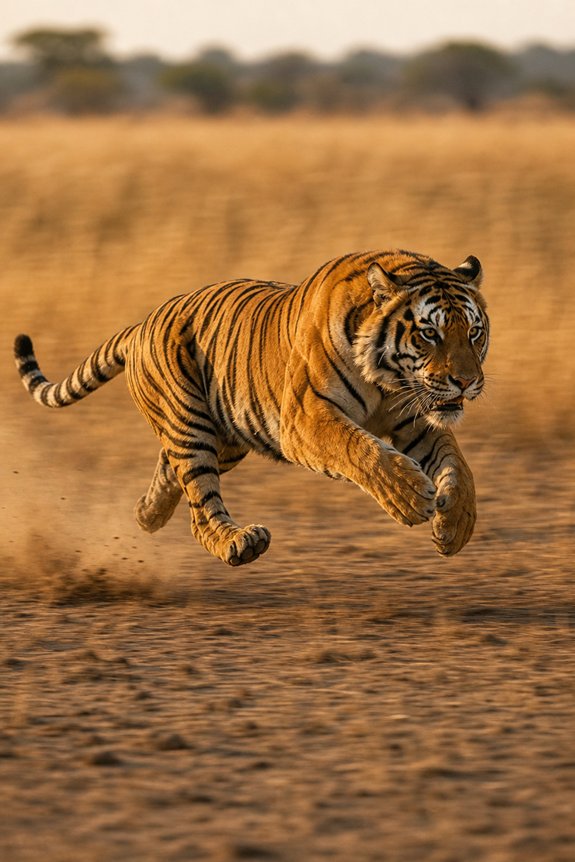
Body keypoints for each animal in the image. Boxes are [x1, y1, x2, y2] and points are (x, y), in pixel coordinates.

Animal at [14, 249, 489, 567]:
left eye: (474, 332)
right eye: (429, 333)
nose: (466, 381)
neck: (388, 380)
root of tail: (142, 322)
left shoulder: (416, 419)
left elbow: (458, 465)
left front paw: (456, 525)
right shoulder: (306, 419)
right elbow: (362, 450)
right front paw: (408, 497)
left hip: (226, 440)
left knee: (172, 474)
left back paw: (146, 514)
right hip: (191, 425)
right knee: (199, 507)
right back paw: (238, 542)